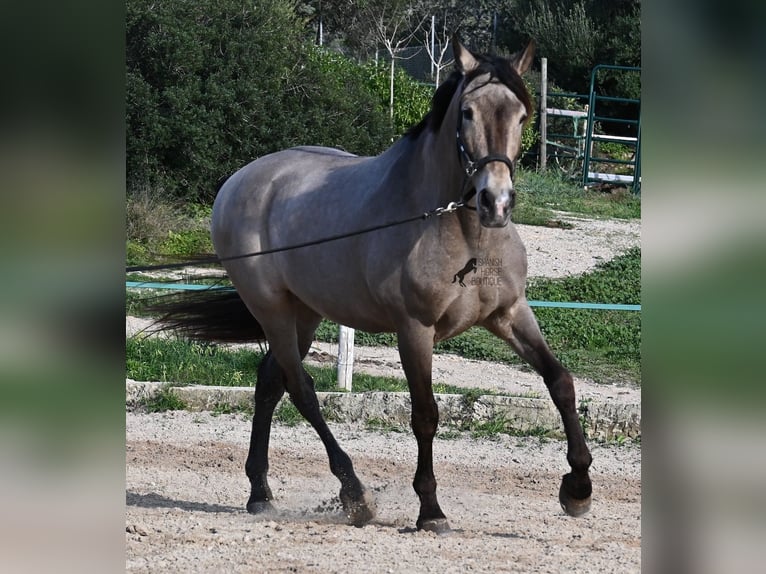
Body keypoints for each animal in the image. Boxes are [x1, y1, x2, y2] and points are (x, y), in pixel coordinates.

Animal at [158, 41, 592, 536]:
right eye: (467, 112)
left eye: (522, 115)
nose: (495, 202)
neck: (460, 232)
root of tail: (238, 181)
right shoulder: (415, 330)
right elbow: (425, 415)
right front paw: (431, 510)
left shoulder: (510, 314)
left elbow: (560, 382)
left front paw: (578, 488)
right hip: (272, 311)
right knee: (301, 389)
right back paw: (354, 494)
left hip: (304, 313)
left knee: (270, 383)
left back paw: (260, 494)